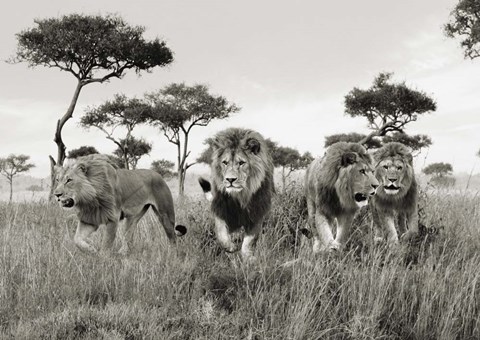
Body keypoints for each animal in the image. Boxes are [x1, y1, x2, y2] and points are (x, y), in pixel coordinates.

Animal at [53, 154, 186, 255]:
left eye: (69, 180)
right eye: (57, 180)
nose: (56, 195)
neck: (90, 198)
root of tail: (158, 174)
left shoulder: (113, 217)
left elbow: (107, 243)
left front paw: (103, 260)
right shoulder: (90, 218)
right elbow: (77, 239)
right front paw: (91, 249)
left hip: (165, 215)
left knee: (173, 238)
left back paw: (174, 255)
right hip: (133, 217)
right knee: (128, 236)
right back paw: (122, 253)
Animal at [198, 127, 274, 260]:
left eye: (241, 163)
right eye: (225, 162)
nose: (230, 179)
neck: (240, 196)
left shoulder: (256, 215)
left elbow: (249, 242)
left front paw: (248, 258)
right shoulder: (221, 210)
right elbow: (221, 234)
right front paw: (230, 248)